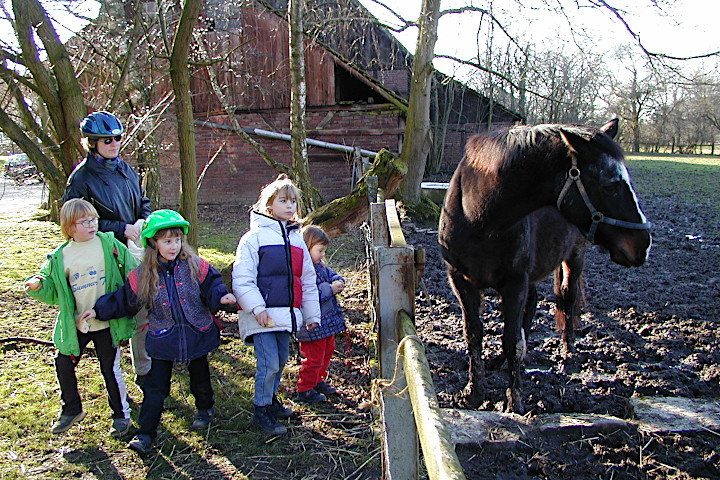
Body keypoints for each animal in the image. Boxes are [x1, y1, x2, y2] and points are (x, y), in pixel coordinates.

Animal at [438, 119, 652, 412]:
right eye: (610, 186)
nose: (643, 244)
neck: (478, 216)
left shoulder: (515, 282)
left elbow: (511, 341)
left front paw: (513, 404)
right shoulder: (462, 281)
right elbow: (474, 335)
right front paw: (473, 394)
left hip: (574, 257)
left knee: (567, 298)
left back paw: (568, 352)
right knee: (534, 302)